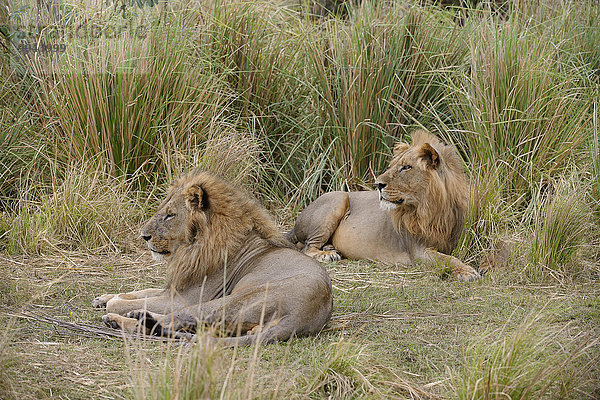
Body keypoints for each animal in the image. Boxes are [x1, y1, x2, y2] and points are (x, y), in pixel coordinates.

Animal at [94, 170, 332, 346]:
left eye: (170, 215)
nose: (144, 236)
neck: (190, 248)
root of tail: (301, 316)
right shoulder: (174, 288)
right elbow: (142, 291)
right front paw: (104, 297)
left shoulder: (183, 298)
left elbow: (122, 302)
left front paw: (113, 303)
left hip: (228, 301)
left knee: (173, 320)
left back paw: (124, 319)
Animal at [284, 131, 480, 282]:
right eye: (392, 166)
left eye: (406, 167)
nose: (378, 184)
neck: (433, 208)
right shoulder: (418, 250)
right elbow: (447, 259)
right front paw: (467, 271)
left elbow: (451, 255)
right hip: (337, 199)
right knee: (306, 247)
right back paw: (326, 254)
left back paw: (330, 248)